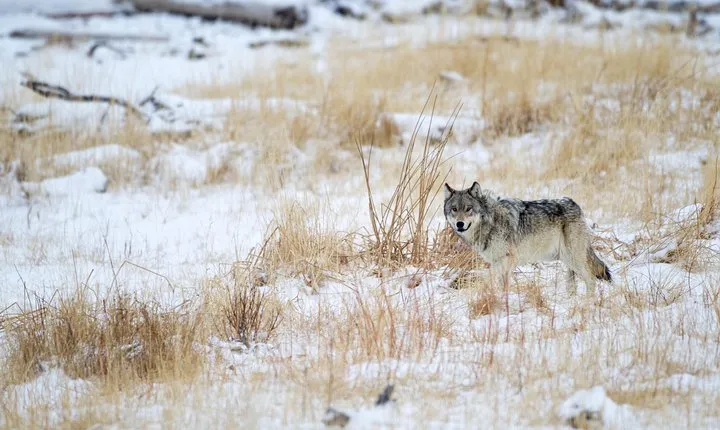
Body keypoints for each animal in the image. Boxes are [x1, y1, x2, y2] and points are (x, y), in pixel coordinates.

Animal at [444, 182, 611, 294]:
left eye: (468, 209)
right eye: (454, 209)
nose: (460, 224)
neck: (491, 221)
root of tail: (575, 204)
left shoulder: (507, 259)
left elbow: (494, 278)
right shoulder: (499, 261)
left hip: (574, 258)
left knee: (591, 280)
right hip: (567, 260)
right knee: (574, 284)